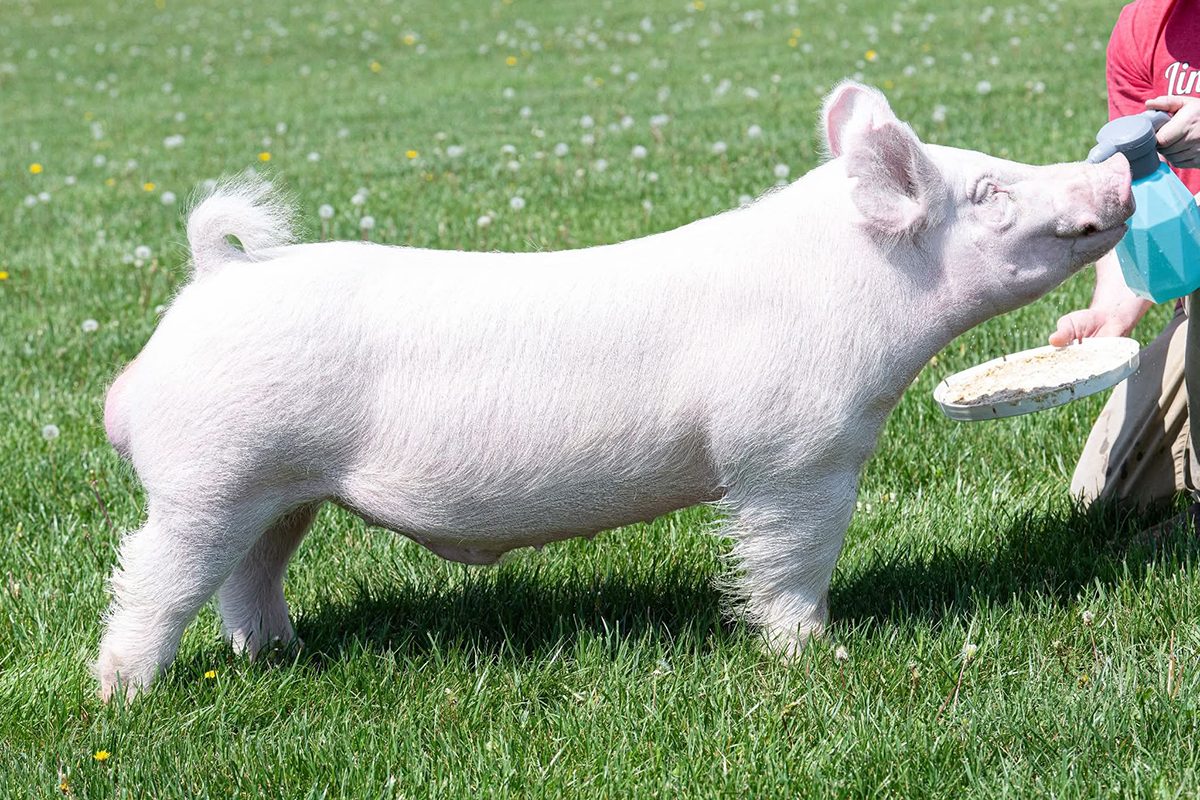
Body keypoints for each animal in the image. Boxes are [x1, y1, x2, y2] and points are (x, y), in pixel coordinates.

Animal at [97, 81, 1133, 700]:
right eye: (989, 191)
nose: (1120, 173)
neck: (867, 301)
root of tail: (212, 283)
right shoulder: (792, 455)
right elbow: (793, 557)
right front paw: (815, 652)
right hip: (210, 477)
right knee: (155, 576)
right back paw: (124, 694)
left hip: (282, 489)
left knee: (250, 576)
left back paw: (282, 656)